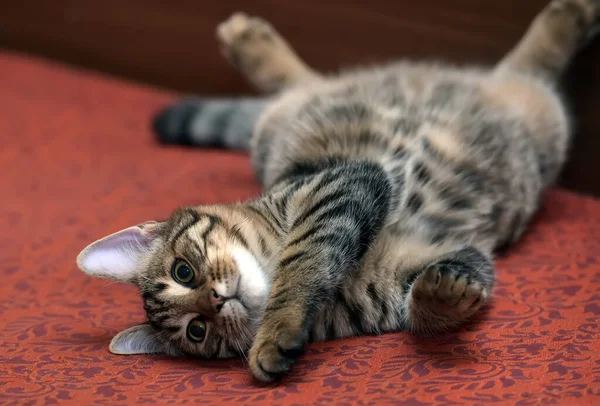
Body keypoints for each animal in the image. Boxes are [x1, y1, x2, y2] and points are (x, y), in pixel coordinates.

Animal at [77, 0, 596, 384]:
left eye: (183, 271)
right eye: (197, 330)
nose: (216, 301)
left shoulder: (339, 183)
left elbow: (301, 264)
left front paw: (274, 330)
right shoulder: (422, 266)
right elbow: (427, 300)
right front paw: (445, 293)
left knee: (300, 82)